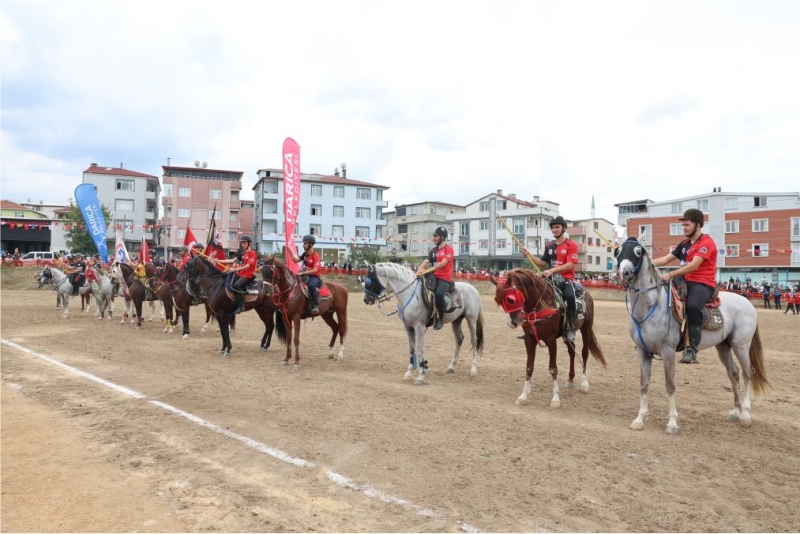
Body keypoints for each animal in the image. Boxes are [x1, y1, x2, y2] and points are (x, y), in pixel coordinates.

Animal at [488, 270, 608, 408]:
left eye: (510, 299)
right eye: (497, 300)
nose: (511, 323)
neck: (539, 304)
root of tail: (586, 293)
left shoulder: (551, 340)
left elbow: (553, 368)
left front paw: (555, 398)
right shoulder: (529, 339)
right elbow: (529, 367)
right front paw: (523, 396)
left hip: (586, 329)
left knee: (584, 353)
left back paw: (584, 384)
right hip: (567, 336)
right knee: (572, 352)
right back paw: (570, 380)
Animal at [612, 239, 768, 436]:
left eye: (638, 252)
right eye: (618, 251)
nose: (622, 273)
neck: (650, 307)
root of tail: (747, 302)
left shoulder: (668, 352)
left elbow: (670, 385)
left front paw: (672, 423)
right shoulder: (642, 352)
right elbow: (644, 384)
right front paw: (639, 419)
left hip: (741, 345)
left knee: (748, 373)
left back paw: (746, 415)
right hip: (723, 346)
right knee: (734, 373)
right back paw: (735, 412)